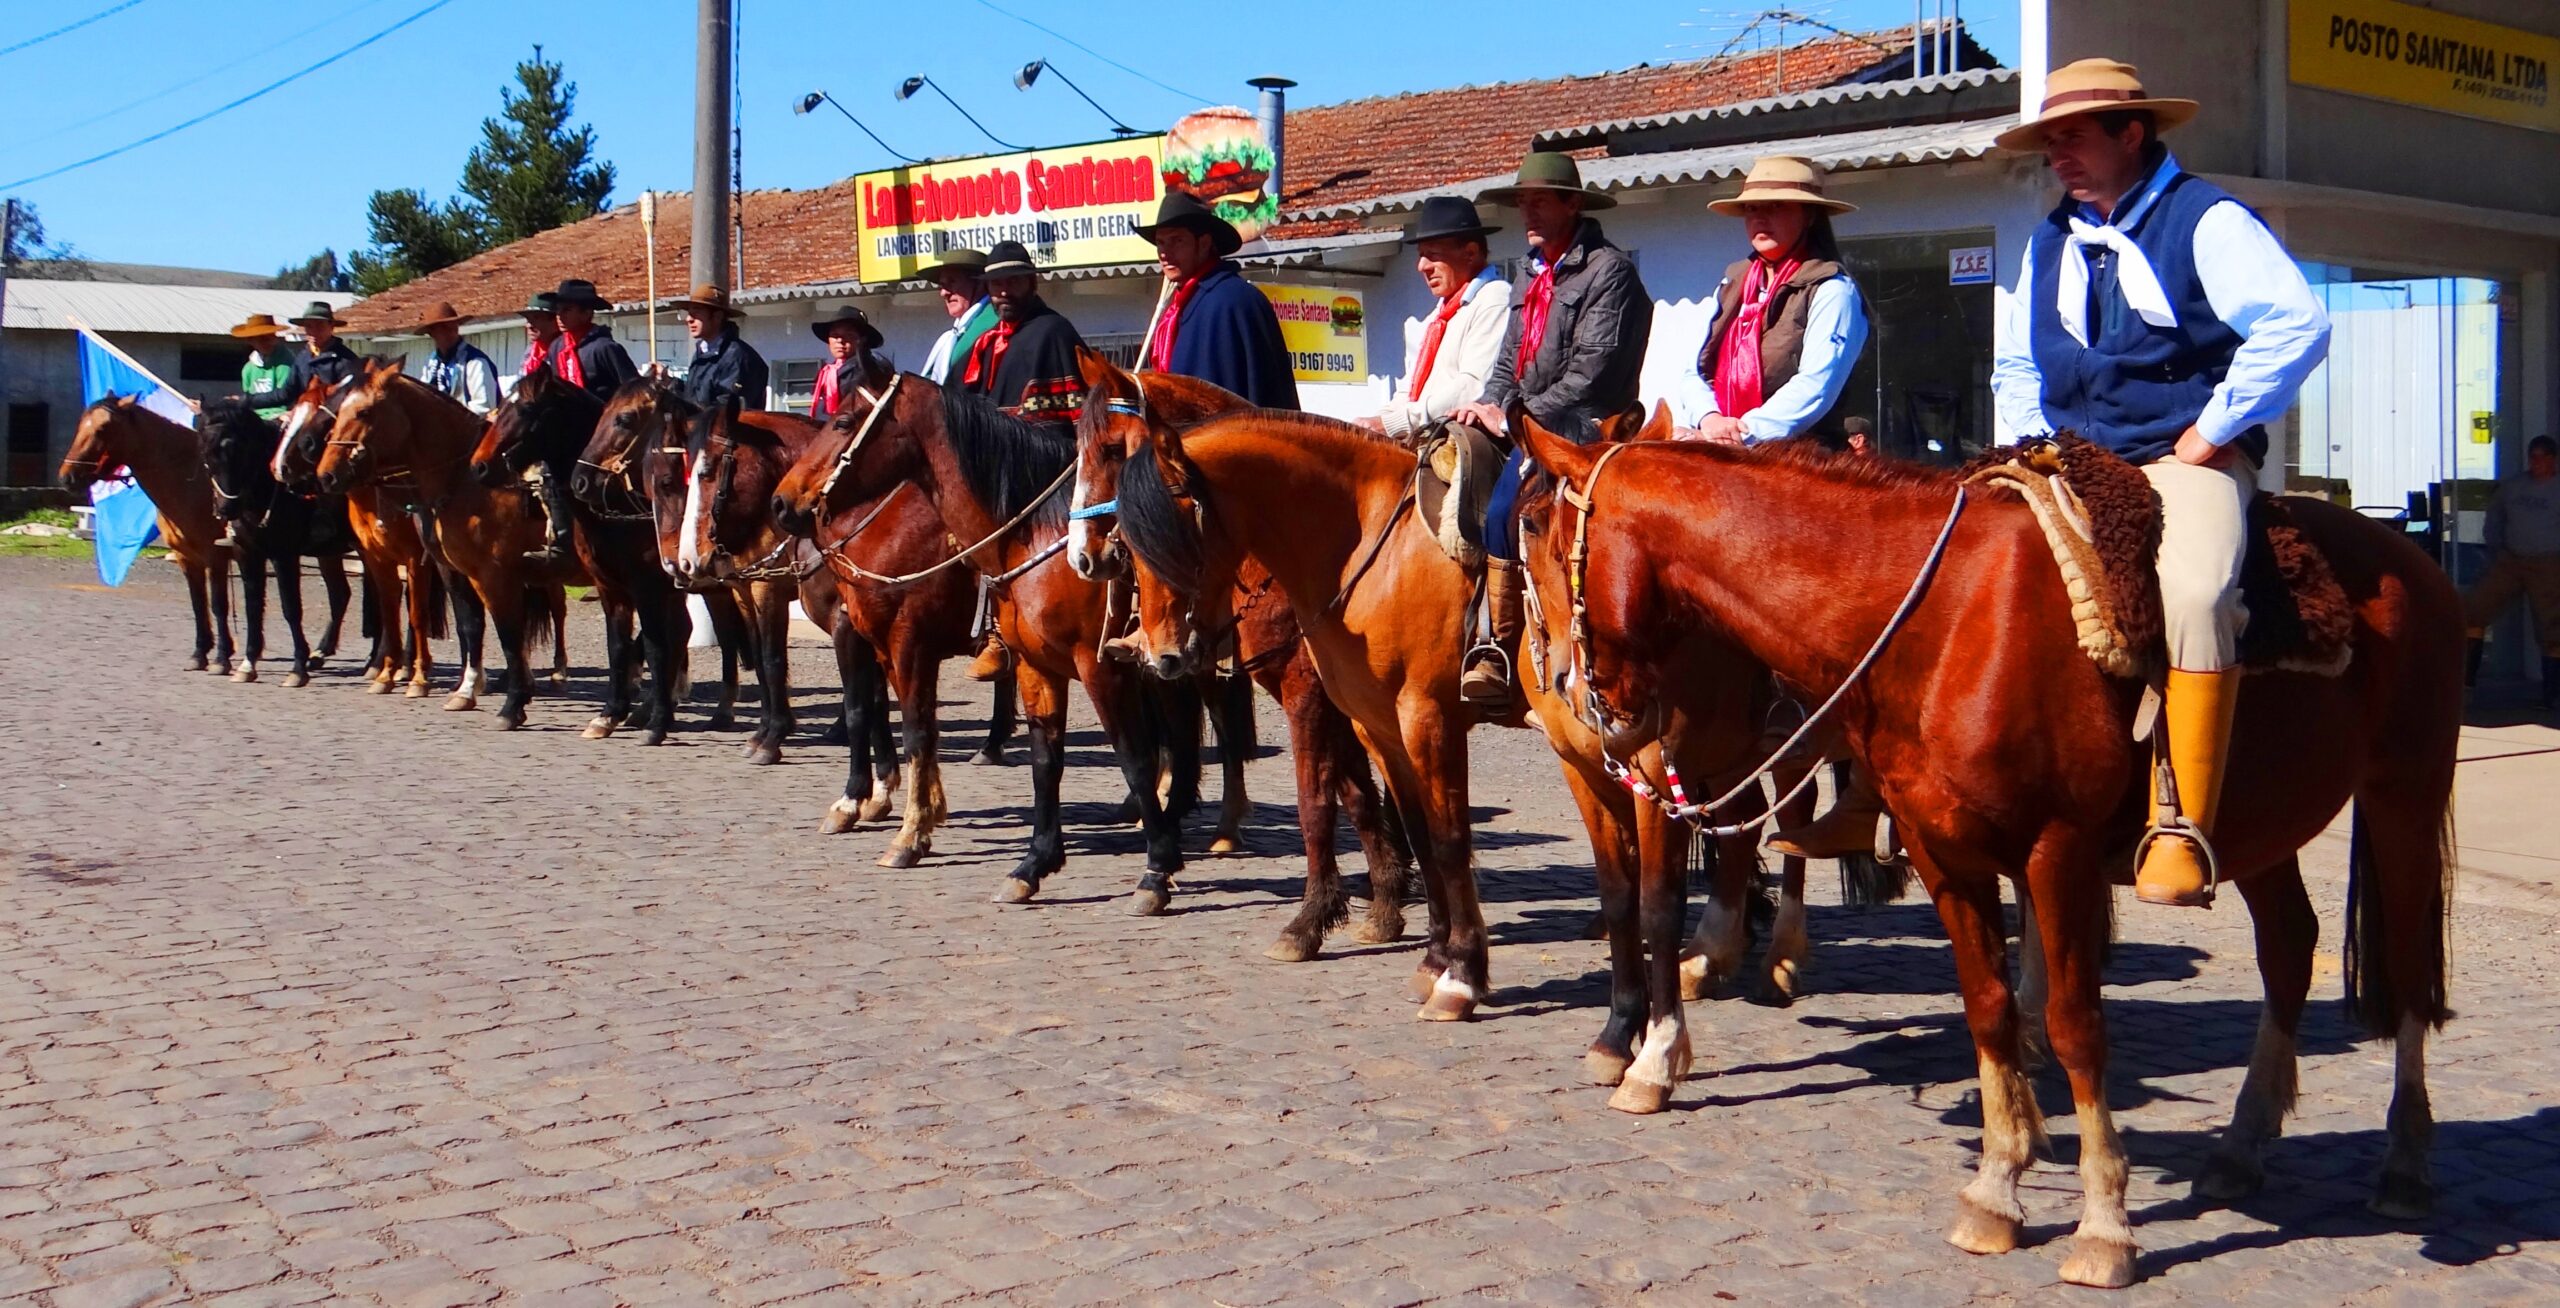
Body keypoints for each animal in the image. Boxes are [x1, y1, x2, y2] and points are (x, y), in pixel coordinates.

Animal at [57, 396, 232, 665]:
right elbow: (198, 603)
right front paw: (200, 652)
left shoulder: (216, 556)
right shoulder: (187, 557)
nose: (67, 477)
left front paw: (222, 658)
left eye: (102, 429)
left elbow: (218, 605)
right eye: (81, 424)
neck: (197, 483)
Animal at [316, 363, 581, 732]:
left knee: (559, 609)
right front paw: (466, 690)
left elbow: (507, 634)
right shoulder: (453, 569)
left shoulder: (491, 575)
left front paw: (512, 703)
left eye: (364, 412)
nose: (326, 475)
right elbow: (470, 625)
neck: (463, 480)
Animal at [768, 353, 1239, 916]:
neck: (1034, 536)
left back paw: (1222, 827)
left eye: (841, 421)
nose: (782, 502)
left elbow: (1132, 757)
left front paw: (1158, 869)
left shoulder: (1087, 666)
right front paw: (1032, 863)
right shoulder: (1024, 663)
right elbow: (1040, 760)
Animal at [1515, 422, 2457, 1290]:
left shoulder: (2057, 853)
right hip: (2260, 832)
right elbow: (1990, 1008)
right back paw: (2242, 1144)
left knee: (2408, 968)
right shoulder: (1944, 854)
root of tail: (2409, 558)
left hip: (2404, 794)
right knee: (2290, 947)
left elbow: (2074, 1024)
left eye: (1548, 538)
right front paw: (1998, 1190)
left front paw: (2104, 1224)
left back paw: (2407, 1163)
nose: (1572, 696)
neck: (1945, 618)